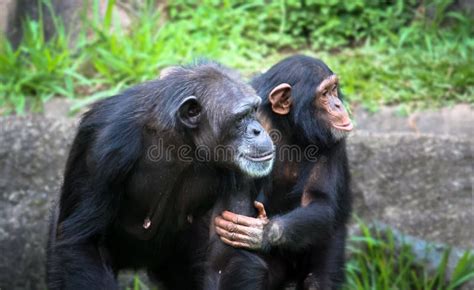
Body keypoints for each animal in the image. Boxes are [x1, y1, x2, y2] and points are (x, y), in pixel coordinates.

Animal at [45, 61, 274, 290]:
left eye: (254, 110)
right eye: (241, 117)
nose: (258, 129)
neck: (181, 139)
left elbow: (223, 259)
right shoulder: (102, 147)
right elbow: (83, 241)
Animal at [215, 55, 352, 290]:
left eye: (334, 89)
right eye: (324, 94)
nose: (337, 104)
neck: (288, 126)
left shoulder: (332, 140)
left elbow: (318, 199)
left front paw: (264, 233)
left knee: (319, 277)